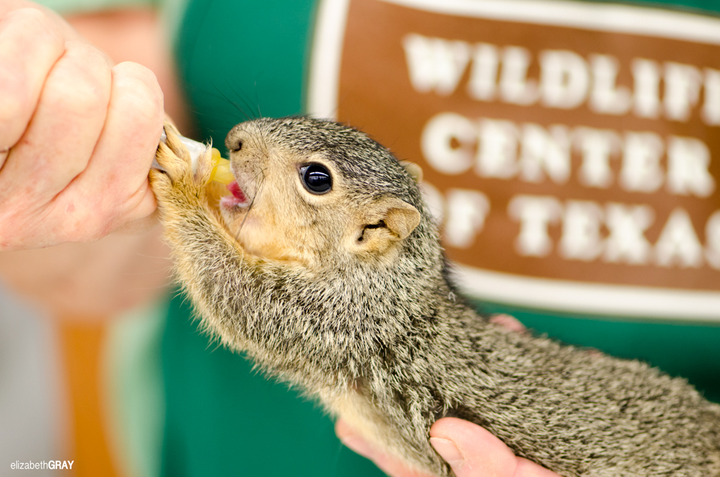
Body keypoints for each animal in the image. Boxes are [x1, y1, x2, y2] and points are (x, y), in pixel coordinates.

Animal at [149, 116, 720, 476]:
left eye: (316, 178)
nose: (235, 139)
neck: (387, 282)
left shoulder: (333, 321)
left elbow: (231, 292)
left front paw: (184, 182)